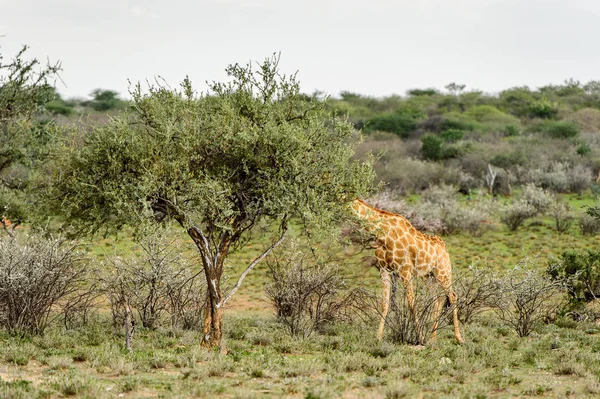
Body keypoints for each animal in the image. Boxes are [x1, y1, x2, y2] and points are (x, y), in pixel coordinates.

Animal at [352, 198, 464, 346]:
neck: (383, 234)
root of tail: (444, 247)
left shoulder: (405, 270)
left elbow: (411, 303)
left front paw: (420, 338)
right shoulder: (384, 270)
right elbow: (384, 303)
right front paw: (378, 338)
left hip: (443, 272)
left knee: (452, 296)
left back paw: (459, 338)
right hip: (428, 276)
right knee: (437, 299)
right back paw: (433, 340)